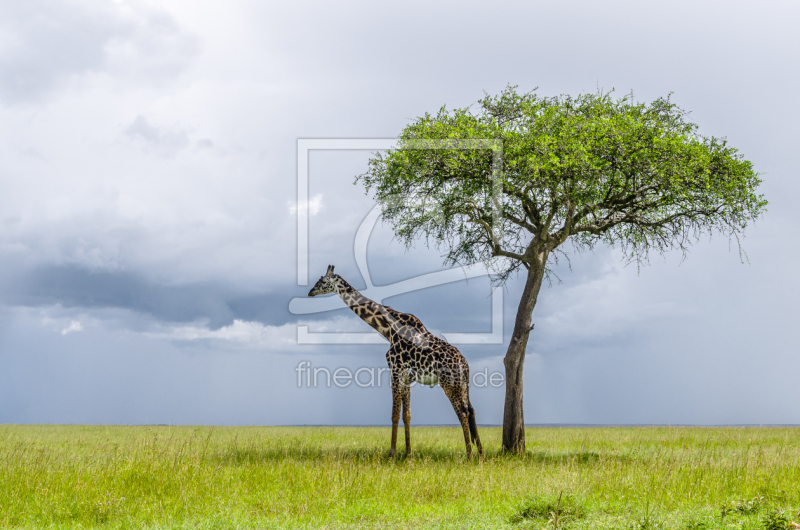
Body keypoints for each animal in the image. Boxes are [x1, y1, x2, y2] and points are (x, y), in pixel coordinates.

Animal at [304, 266, 482, 456]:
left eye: (323, 281)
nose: (310, 292)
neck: (387, 329)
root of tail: (464, 363)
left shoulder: (395, 370)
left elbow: (395, 414)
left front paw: (392, 454)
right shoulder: (407, 377)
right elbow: (407, 414)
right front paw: (408, 454)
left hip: (449, 383)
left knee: (462, 412)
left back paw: (469, 456)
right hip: (462, 384)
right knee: (471, 410)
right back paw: (481, 454)